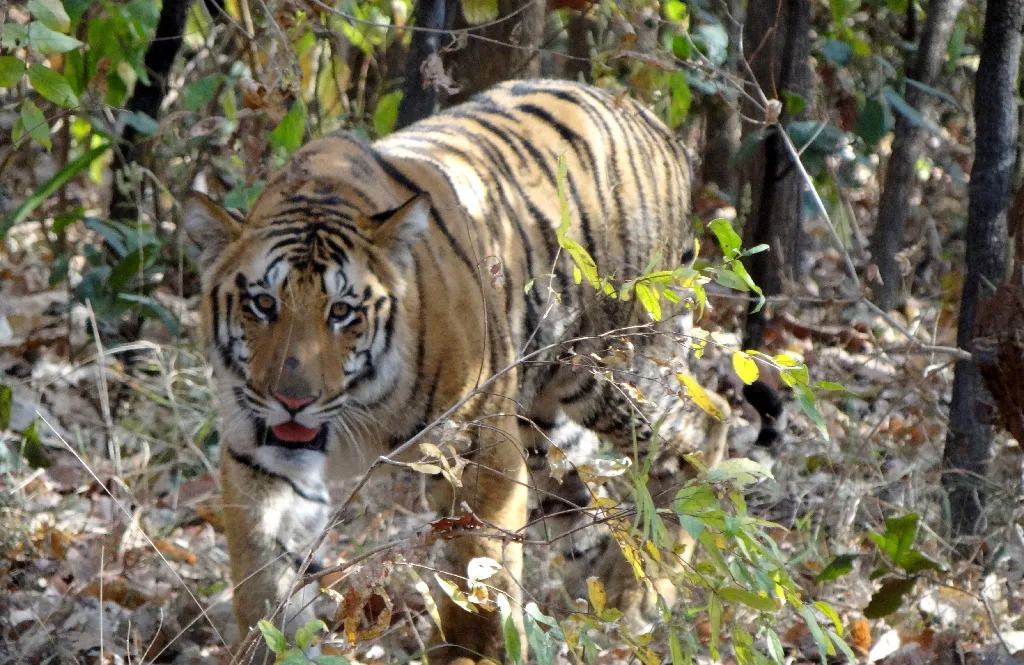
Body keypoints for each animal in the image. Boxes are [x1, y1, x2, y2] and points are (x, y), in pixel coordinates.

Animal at [184, 80, 774, 659]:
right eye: (263, 304)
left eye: (342, 312)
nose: (293, 400)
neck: (357, 406)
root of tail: (655, 126)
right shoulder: (258, 457)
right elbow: (264, 585)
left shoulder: (480, 450)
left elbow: (478, 572)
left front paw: (472, 652)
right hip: (546, 423)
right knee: (584, 510)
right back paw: (594, 608)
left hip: (619, 370)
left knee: (705, 428)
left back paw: (642, 595)